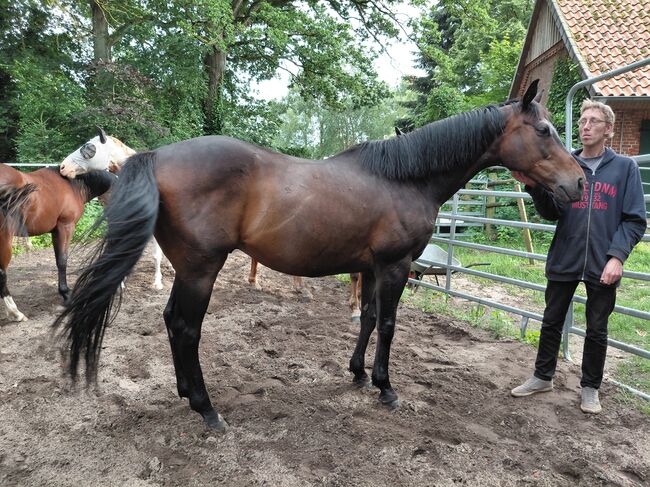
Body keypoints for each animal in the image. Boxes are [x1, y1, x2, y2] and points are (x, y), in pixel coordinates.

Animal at [0, 166, 115, 321]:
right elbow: (62, 261)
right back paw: (15, 313)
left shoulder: (55, 231)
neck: (74, 186)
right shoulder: (65, 227)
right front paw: (66, 294)